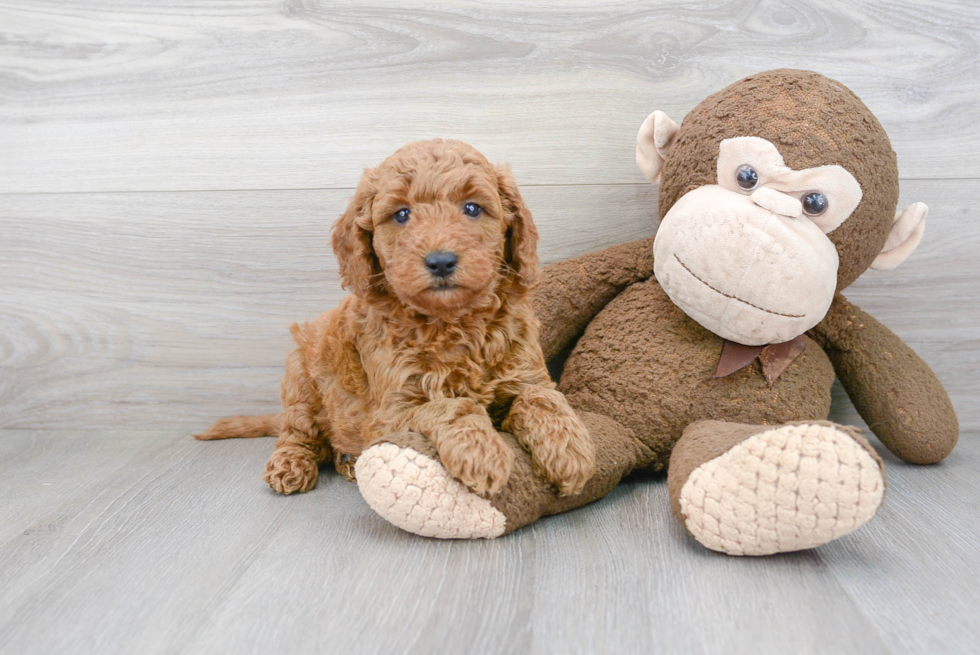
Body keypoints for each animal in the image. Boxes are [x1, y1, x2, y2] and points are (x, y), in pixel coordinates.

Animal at [195, 140, 592, 498]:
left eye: (472, 208)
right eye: (401, 214)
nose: (441, 261)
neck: (453, 322)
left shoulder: (525, 373)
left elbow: (542, 398)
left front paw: (570, 450)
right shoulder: (392, 412)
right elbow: (451, 405)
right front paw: (482, 453)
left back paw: (348, 462)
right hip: (300, 382)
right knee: (296, 434)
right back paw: (291, 464)